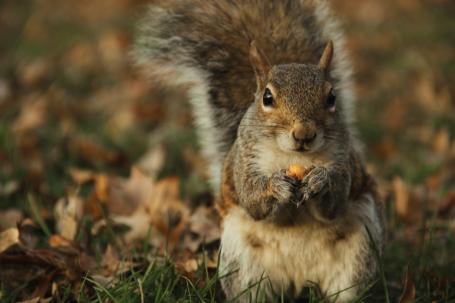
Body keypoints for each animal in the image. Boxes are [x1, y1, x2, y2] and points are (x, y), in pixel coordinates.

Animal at [134, 1, 384, 302]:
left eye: (331, 97)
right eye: (267, 97)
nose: (304, 134)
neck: (294, 157)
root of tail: (299, 280)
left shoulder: (343, 160)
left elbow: (333, 206)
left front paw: (320, 180)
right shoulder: (245, 160)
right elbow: (253, 201)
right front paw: (275, 186)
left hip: (358, 257)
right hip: (243, 265)